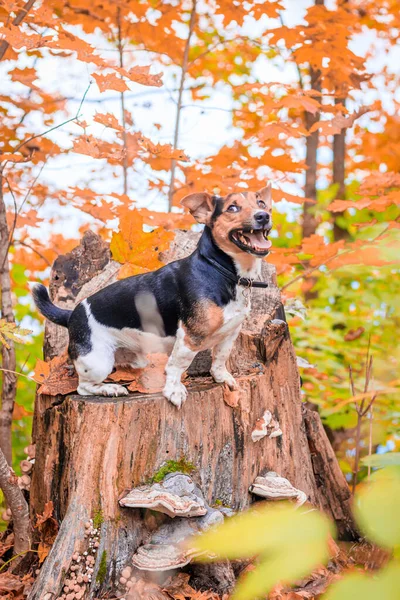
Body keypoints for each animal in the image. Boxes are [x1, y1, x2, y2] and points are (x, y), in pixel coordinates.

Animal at [32, 183, 274, 408]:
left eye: (261, 203)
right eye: (232, 208)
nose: (263, 216)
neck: (220, 269)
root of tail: (72, 314)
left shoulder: (229, 333)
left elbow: (220, 358)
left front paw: (222, 378)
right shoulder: (189, 338)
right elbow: (176, 366)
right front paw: (173, 391)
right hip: (97, 360)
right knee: (83, 387)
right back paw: (110, 389)